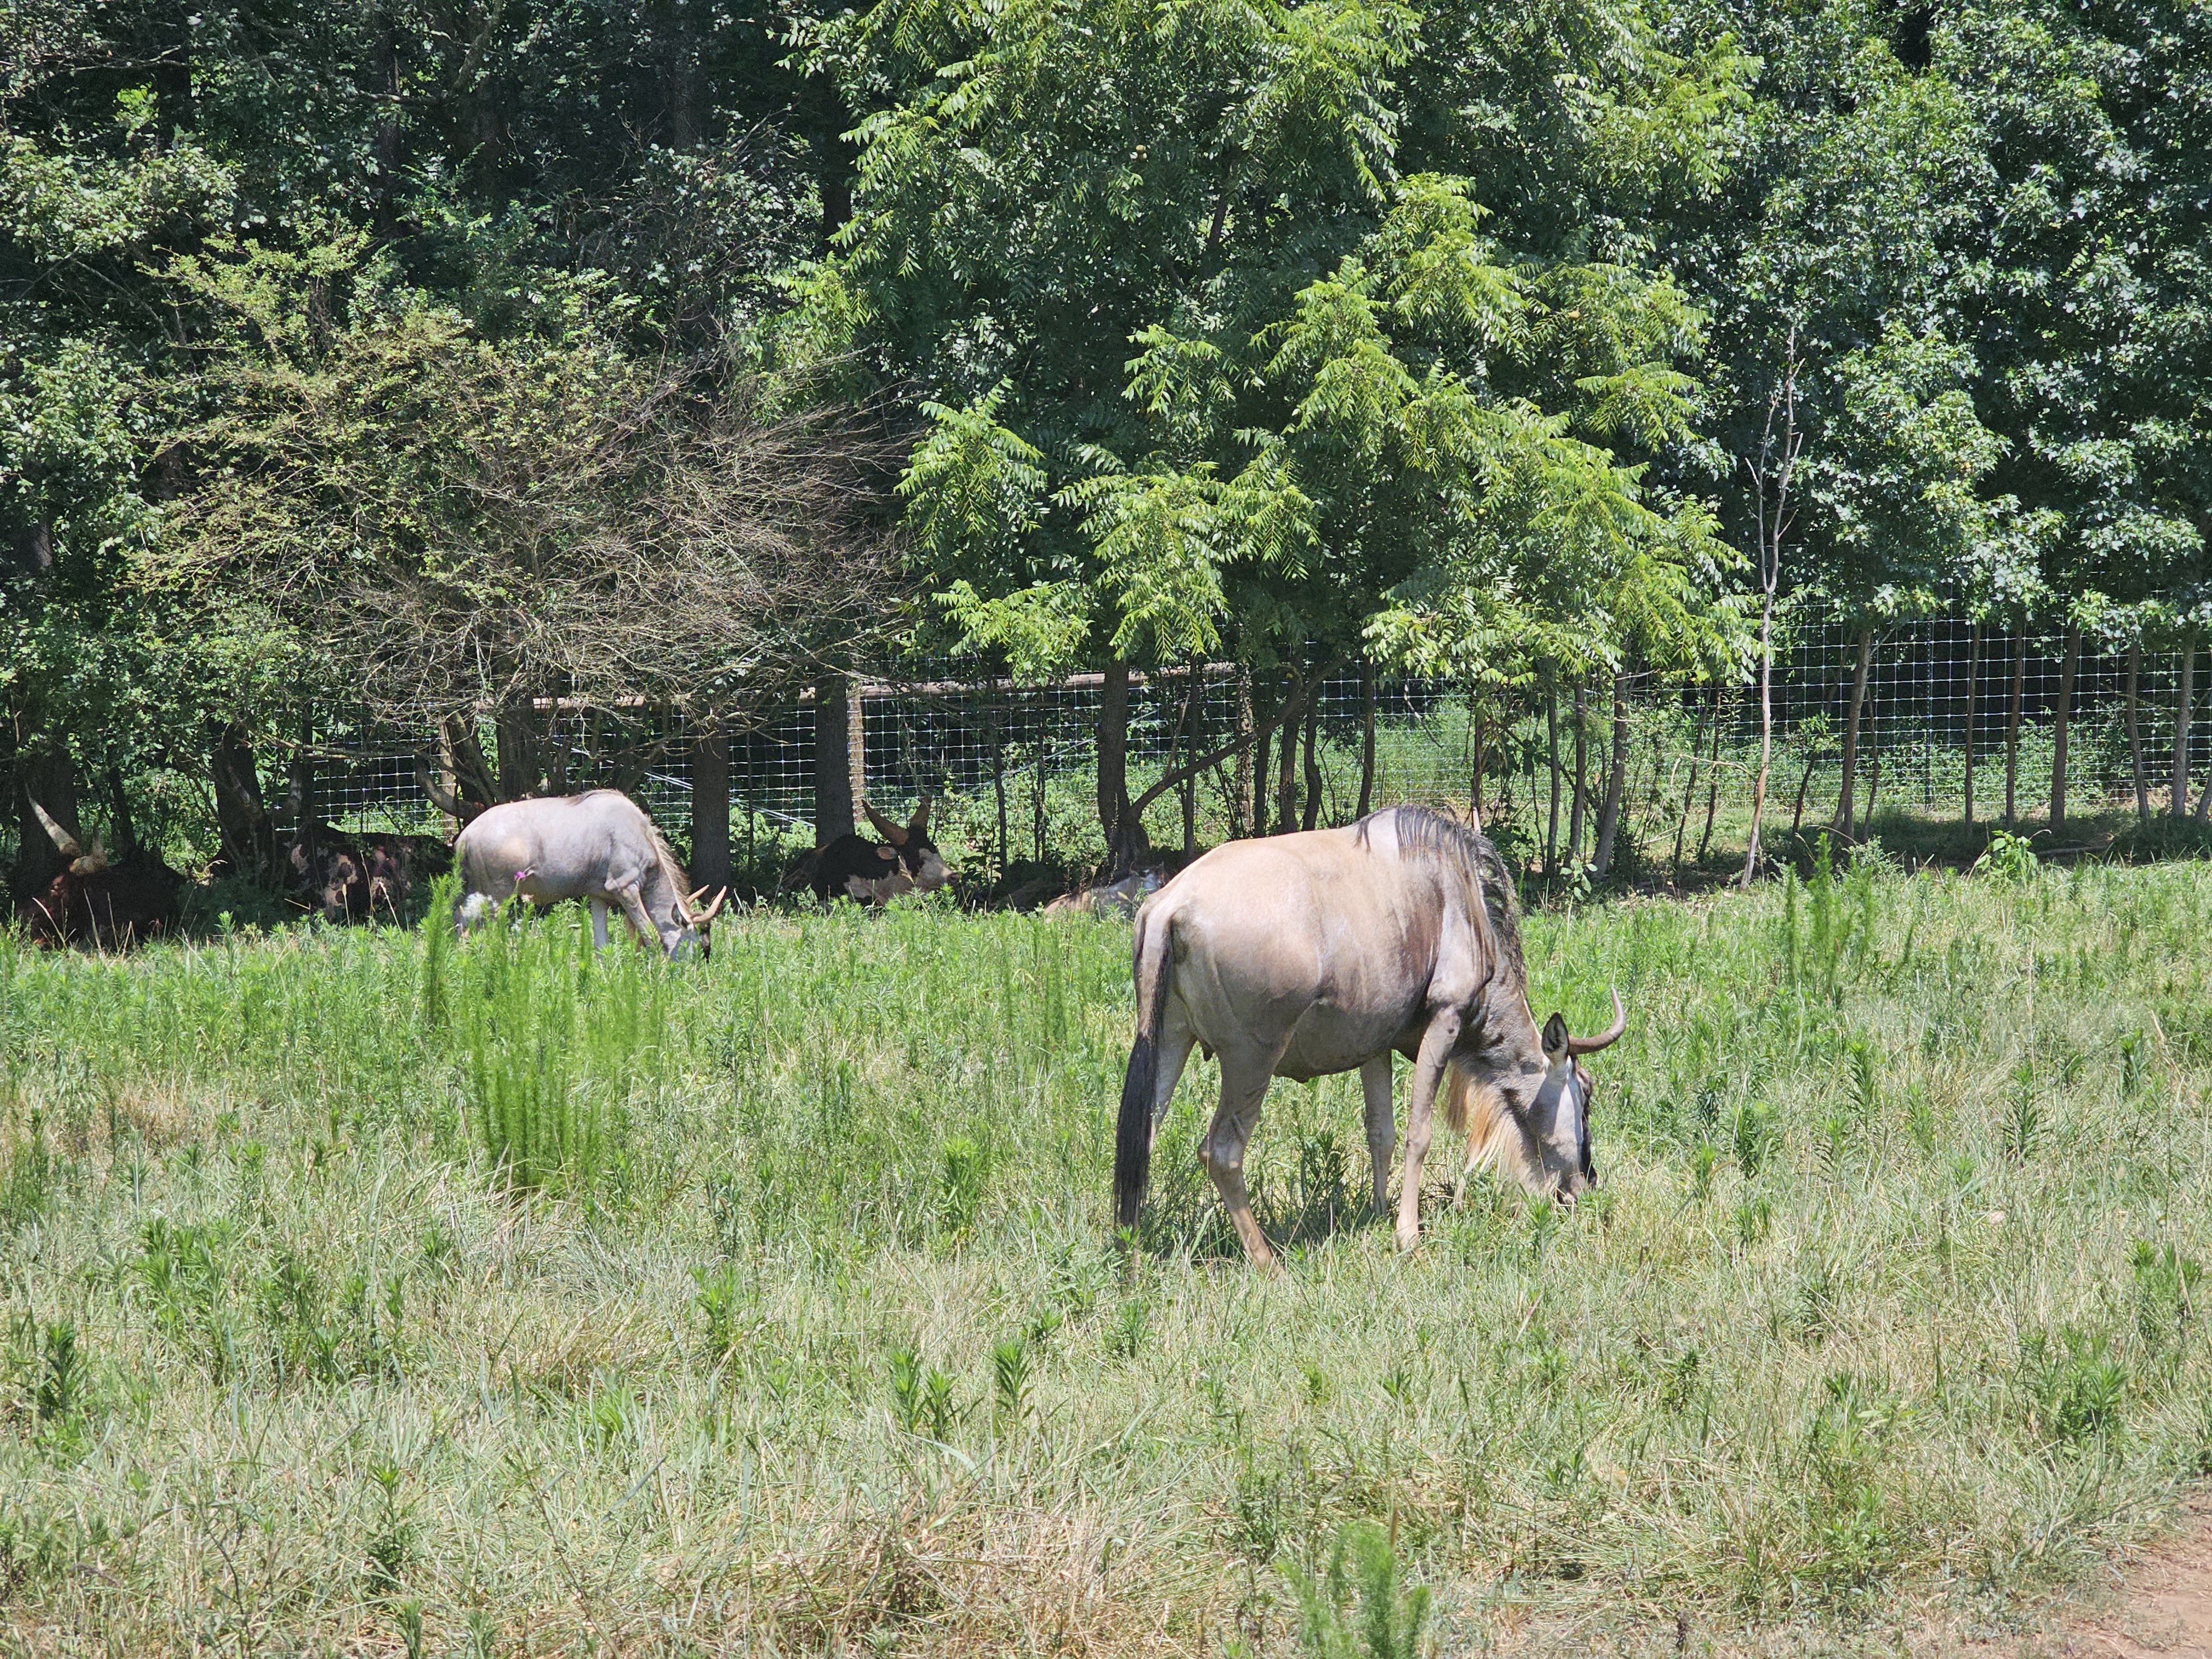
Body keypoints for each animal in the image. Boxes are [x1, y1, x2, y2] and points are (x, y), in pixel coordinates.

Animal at [449, 792, 726, 960]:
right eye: (700, 945)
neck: (640, 835)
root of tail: (466, 837)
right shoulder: (624, 889)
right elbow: (650, 934)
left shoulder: (598, 897)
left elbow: (601, 945)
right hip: (499, 896)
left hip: (474, 893)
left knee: (460, 926)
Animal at [1124, 810, 1628, 1274]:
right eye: (1586, 1094)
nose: (1586, 1185)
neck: (1460, 903)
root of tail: (1173, 904)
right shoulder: (1444, 1022)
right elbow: (1417, 1134)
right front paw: (1408, 1235)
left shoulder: (1374, 1045)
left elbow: (1380, 1132)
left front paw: (1379, 1213)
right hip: (1251, 1059)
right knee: (1223, 1152)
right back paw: (1268, 1262)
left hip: (1169, 1040)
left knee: (1140, 1139)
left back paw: (1133, 1250)